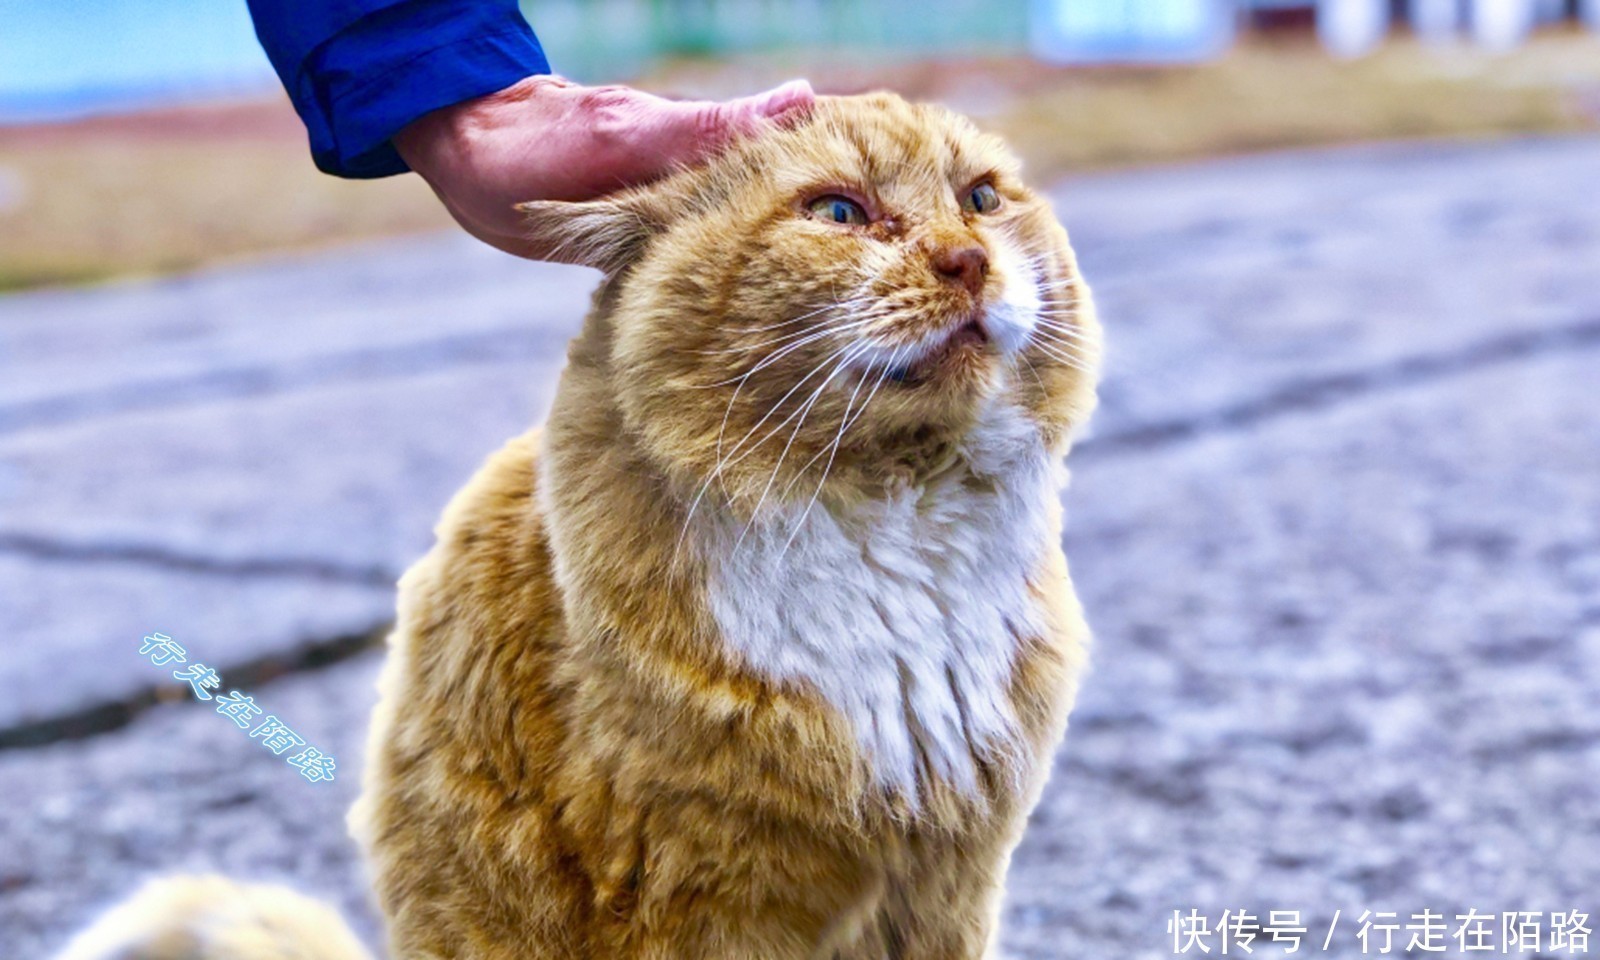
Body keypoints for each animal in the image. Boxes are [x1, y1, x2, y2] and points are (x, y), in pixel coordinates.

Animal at [53, 90, 1100, 960]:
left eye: (981, 199)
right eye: (838, 212)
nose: (969, 261)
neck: (896, 520)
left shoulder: (947, 883)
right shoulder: (704, 894)